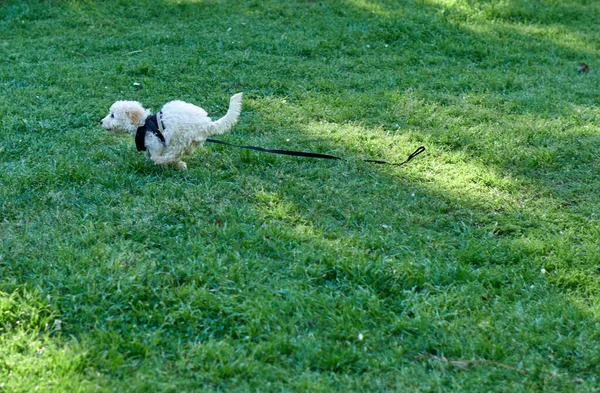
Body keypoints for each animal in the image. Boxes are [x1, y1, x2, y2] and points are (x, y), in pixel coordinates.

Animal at [101, 94, 244, 171]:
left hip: (178, 136)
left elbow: (155, 155)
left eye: (113, 115)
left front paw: (163, 163)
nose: (101, 122)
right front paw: (178, 165)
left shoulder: (157, 143)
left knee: (173, 153)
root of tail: (205, 123)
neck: (143, 124)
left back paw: (164, 161)